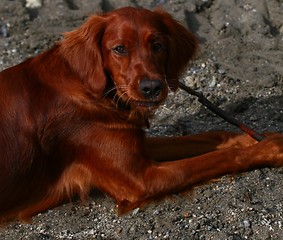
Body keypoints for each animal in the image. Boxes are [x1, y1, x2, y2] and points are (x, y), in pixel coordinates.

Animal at [0, 7, 283, 221]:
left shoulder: (135, 147)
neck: (93, 90)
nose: (152, 88)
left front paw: (253, 137)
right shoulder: (141, 179)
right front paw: (269, 148)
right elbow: (220, 157)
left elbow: (209, 136)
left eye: (157, 45)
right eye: (119, 49)